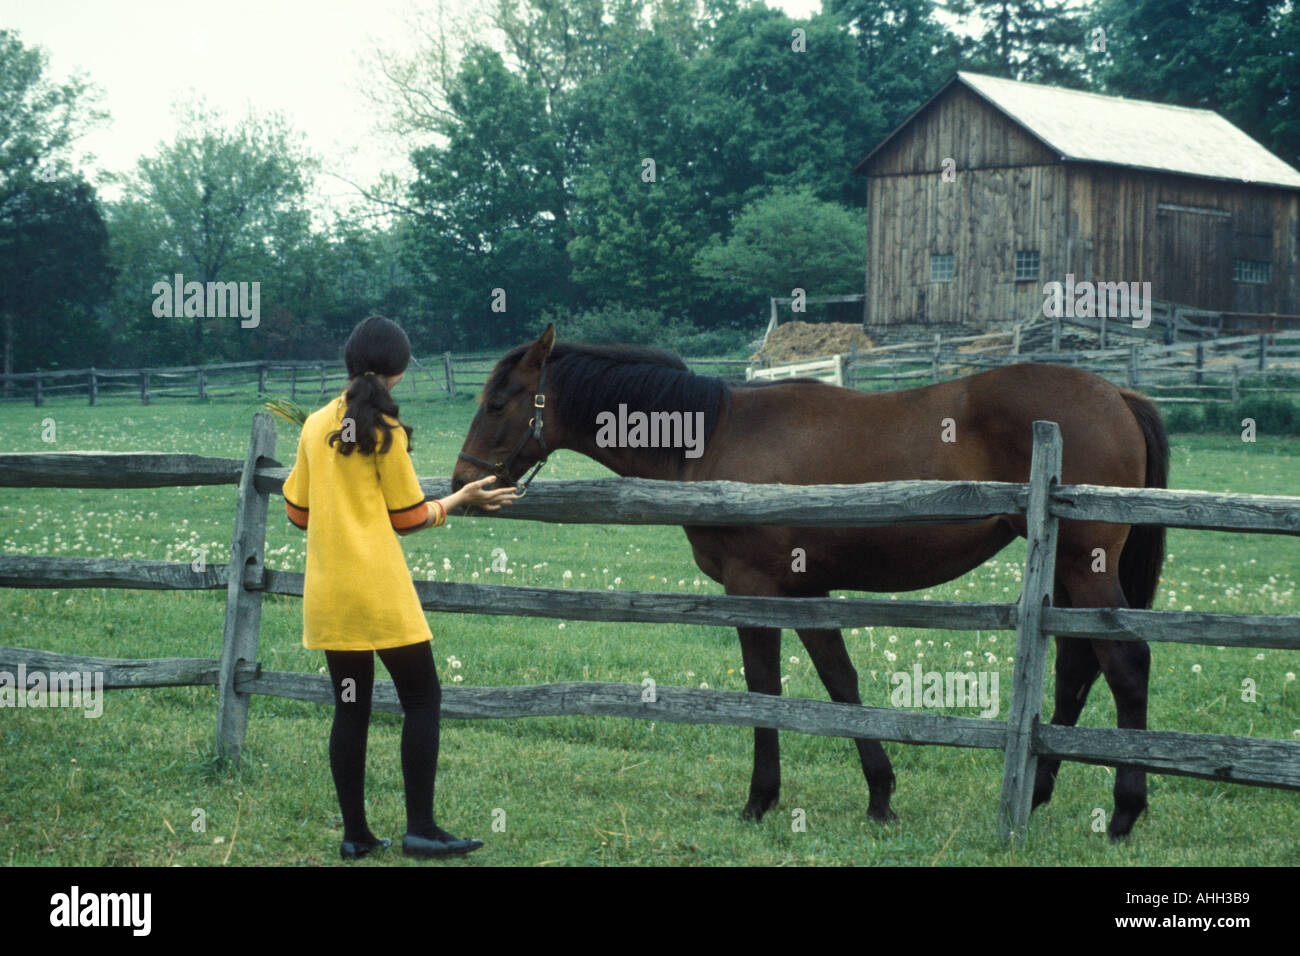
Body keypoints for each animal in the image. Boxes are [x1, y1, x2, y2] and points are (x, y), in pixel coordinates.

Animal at [451, 325, 1169, 840]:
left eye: (497, 402)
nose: (466, 484)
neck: (713, 438)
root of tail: (1118, 395)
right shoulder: (806, 592)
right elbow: (840, 682)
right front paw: (880, 796)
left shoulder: (755, 589)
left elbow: (764, 689)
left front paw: (760, 800)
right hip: (1069, 578)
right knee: (1076, 667)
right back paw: (1041, 791)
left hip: (1085, 568)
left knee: (1126, 664)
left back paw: (1125, 810)